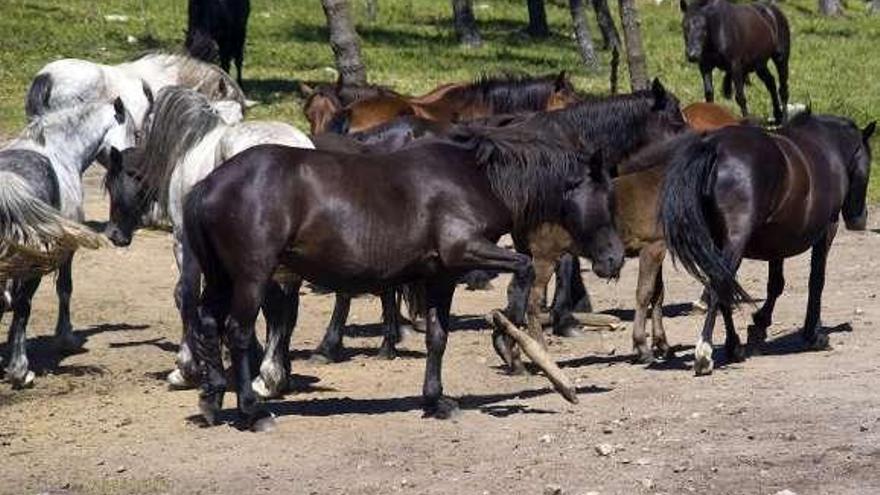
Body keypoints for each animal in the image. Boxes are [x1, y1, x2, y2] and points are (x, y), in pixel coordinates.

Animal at [0, 99, 138, 390]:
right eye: (135, 133)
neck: (59, 149)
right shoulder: (66, 251)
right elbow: (64, 289)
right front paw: (65, 338)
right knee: (23, 304)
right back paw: (21, 371)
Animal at [102, 85, 314, 396]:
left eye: (112, 183)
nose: (113, 234)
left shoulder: (183, 244)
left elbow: (185, 295)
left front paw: (185, 369)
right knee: (286, 308)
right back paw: (275, 374)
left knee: (275, 307)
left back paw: (267, 379)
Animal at [184, 121, 624, 430]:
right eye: (604, 197)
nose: (615, 259)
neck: (471, 177)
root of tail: (208, 184)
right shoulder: (464, 251)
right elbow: (525, 269)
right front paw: (515, 346)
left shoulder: (441, 274)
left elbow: (438, 337)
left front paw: (437, 401)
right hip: (251, 277)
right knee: (238, 333)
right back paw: (252, 411)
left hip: (223, 278)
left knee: (207, 323)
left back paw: (211, 399)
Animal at [660, 110, 872, 376]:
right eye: (869, 164)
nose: (859, 219)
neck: (827, 147)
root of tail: (715, 148)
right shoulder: (826, 231)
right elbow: (816, 281)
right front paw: (814, 334)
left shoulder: (777, 240)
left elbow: (775, 284)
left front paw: (760, 323)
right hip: (735, 242)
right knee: (720, 284)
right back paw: (705, 352)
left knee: (724, 285)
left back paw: (734, 347)